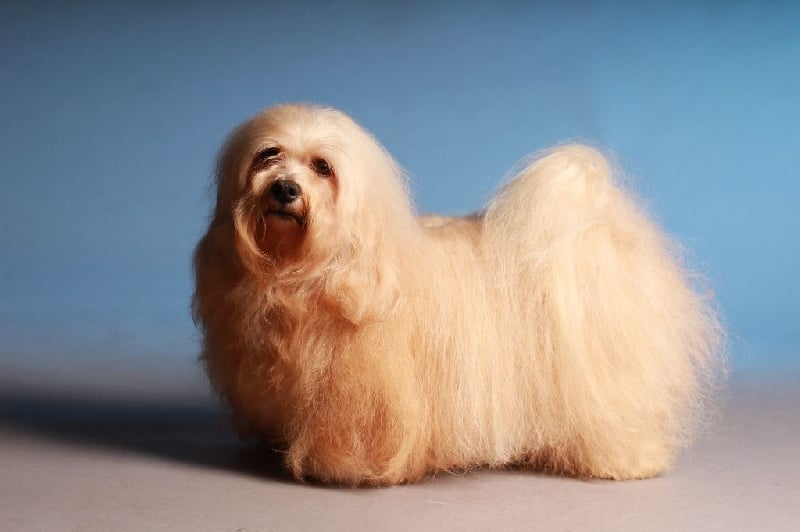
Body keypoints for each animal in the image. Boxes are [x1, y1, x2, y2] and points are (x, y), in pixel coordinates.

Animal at [193, 104, 725, 485]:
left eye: (322, 167)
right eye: (268, 156)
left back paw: (626, 461)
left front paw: (339, 468)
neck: (311, 272)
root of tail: (599, 229)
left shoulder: (364, 395)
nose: (284, 188)